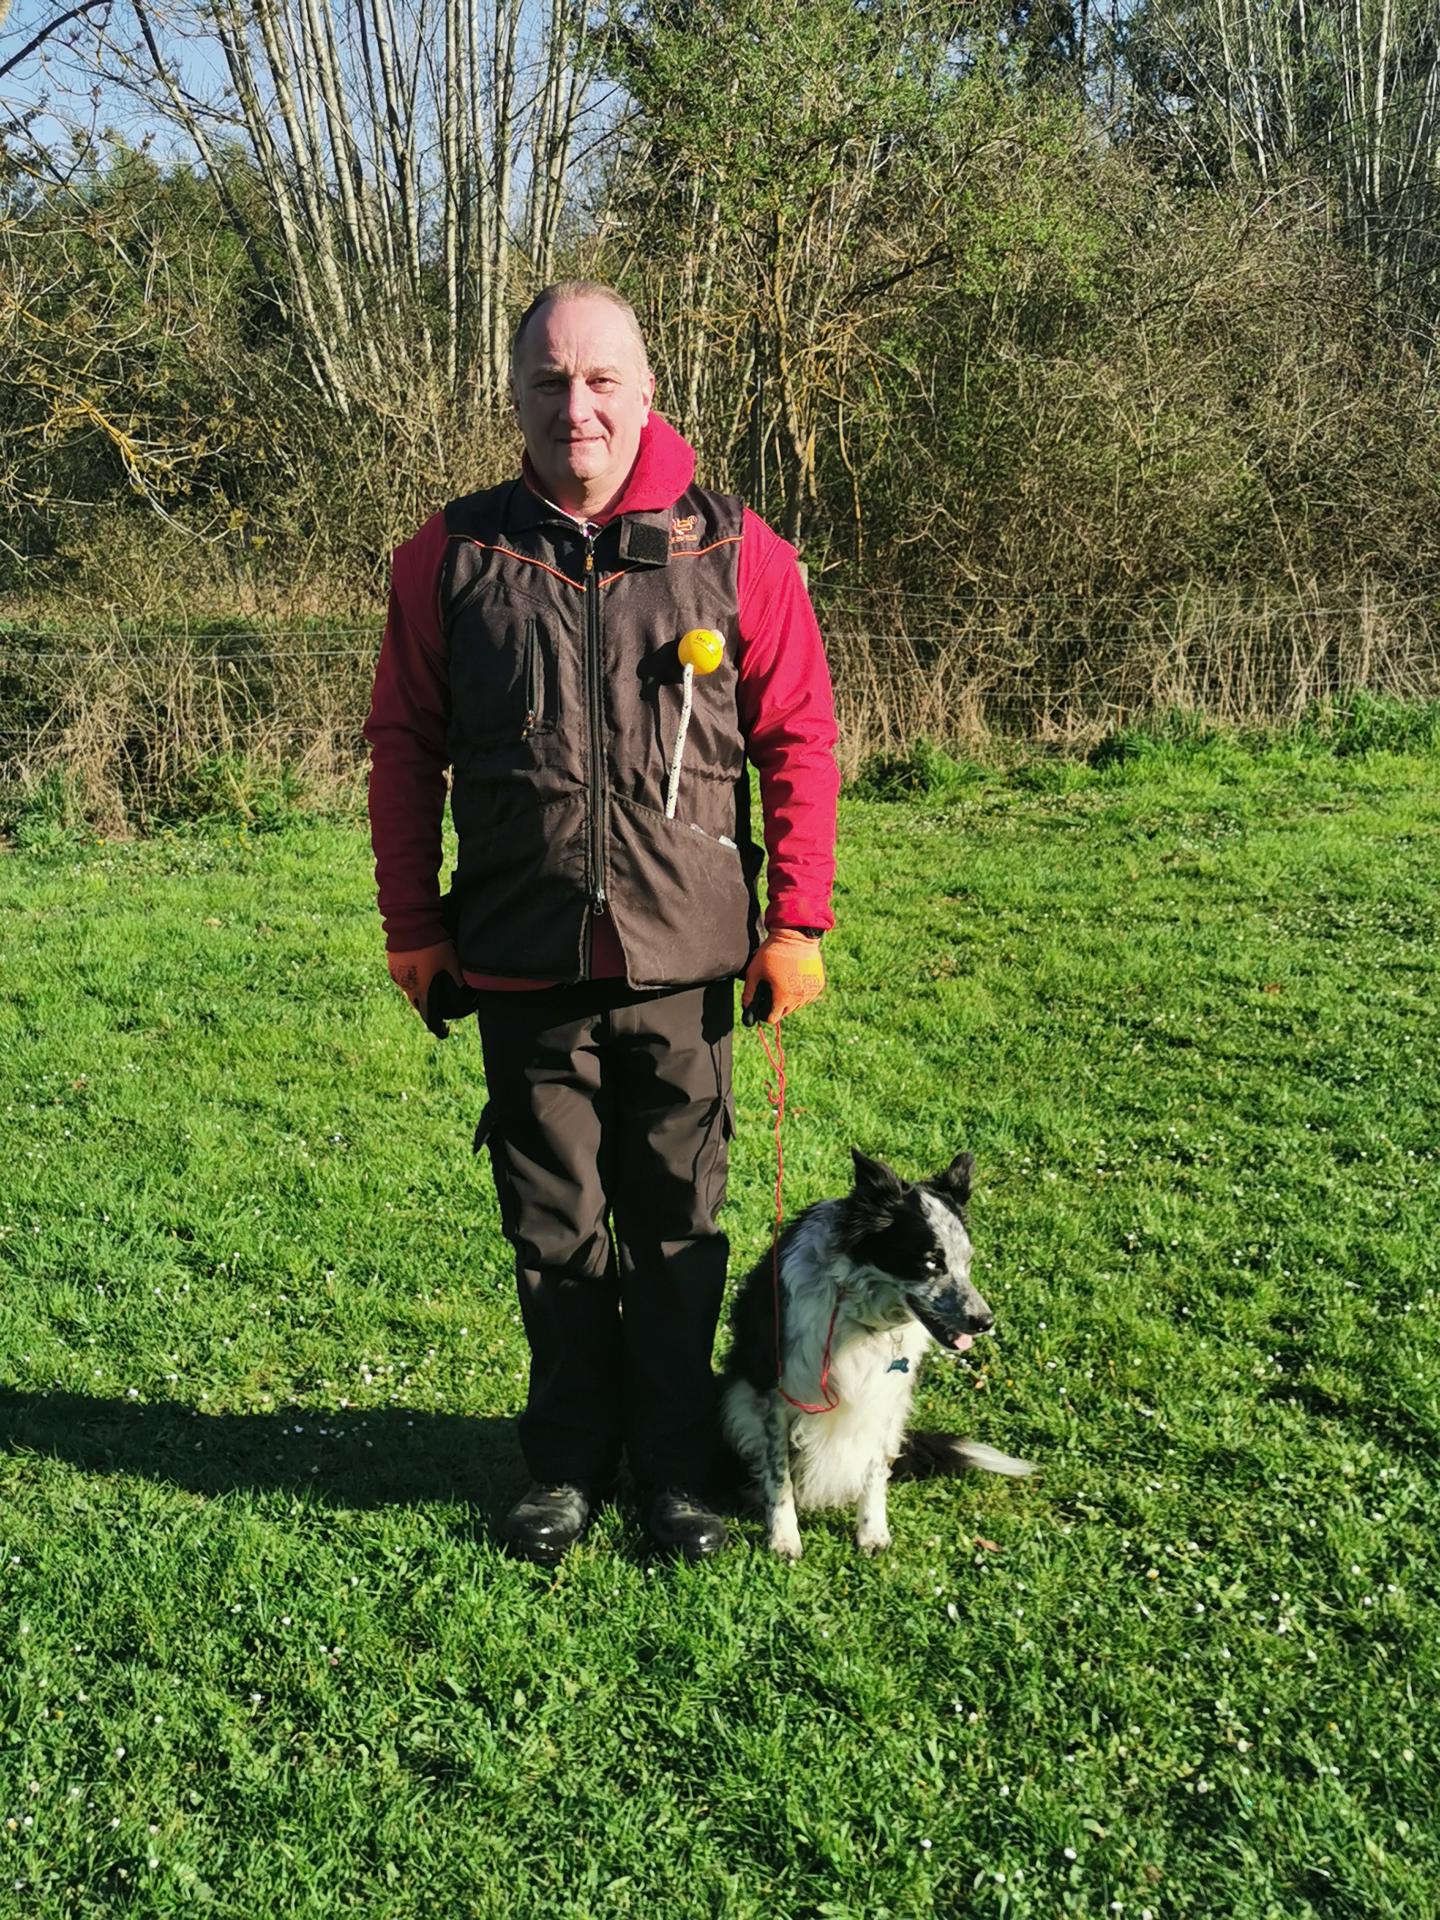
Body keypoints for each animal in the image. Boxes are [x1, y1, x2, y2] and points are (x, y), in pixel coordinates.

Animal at [725, 1144, 1029, 1551]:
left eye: (967, 1261)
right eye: (930, 1262)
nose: (985, 1322)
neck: (860, 1313)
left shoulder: (885, 1395)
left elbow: (873, 1470)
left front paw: (872, 1533)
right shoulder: (774, 1394)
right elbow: (779, 1474)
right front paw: (784, 1538)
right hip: (736, 1401)